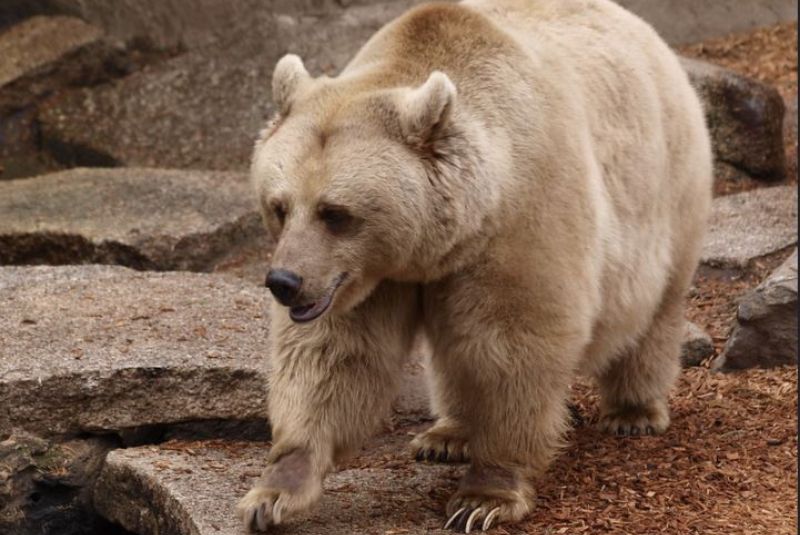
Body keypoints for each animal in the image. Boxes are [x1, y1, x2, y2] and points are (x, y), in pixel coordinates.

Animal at [239, 1, 712, 532]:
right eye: (279, 206)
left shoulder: (521, 219)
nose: (284, 282)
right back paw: (447, 435)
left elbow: (514, 345)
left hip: (668, 187)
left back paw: (634, 411)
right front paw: (273, 493)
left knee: (653, 308)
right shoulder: (367, 280)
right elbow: (334, 356)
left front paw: (484, 497)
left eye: (335, 212)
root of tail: (644, 30)